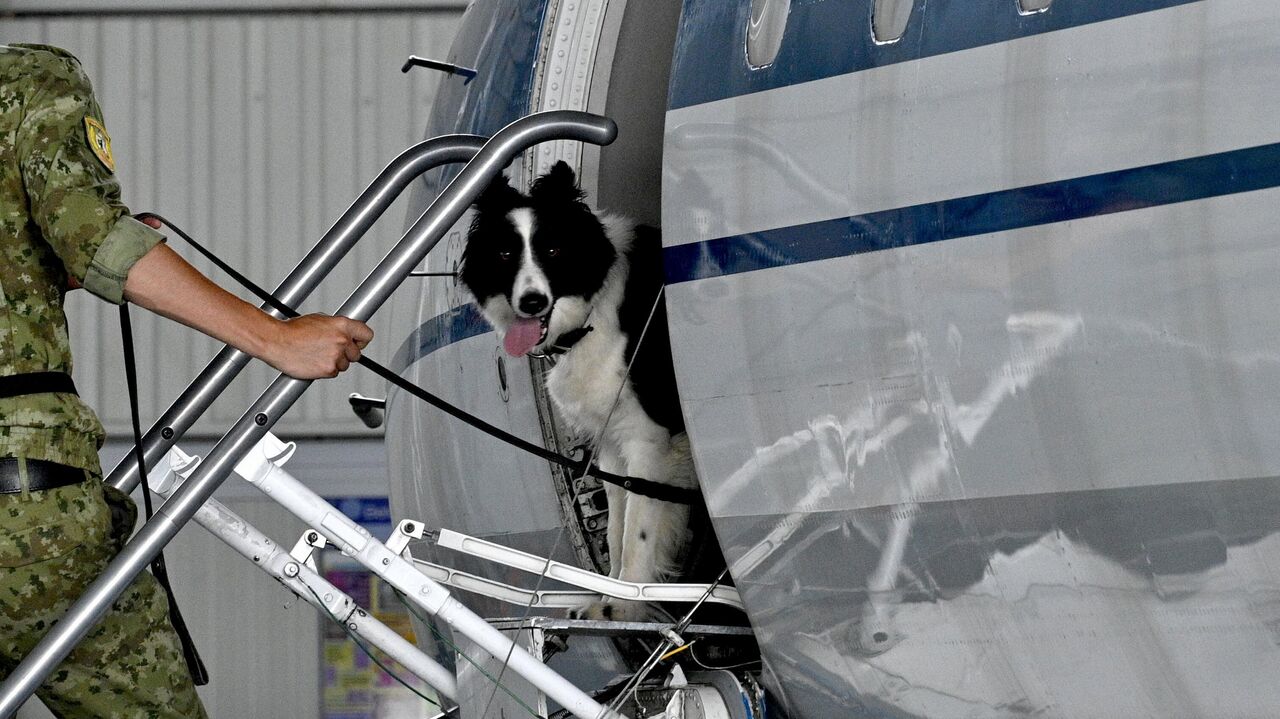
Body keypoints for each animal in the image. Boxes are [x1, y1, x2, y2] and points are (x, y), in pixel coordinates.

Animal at [460, 161, 696, 616]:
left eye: (553, 251)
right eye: (504, 253)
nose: (532, 303)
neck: (594, 307)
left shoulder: (647, 437)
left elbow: (637, 534)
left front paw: (624, 606)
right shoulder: (613, 444)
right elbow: (617, 531)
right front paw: (608, 598)